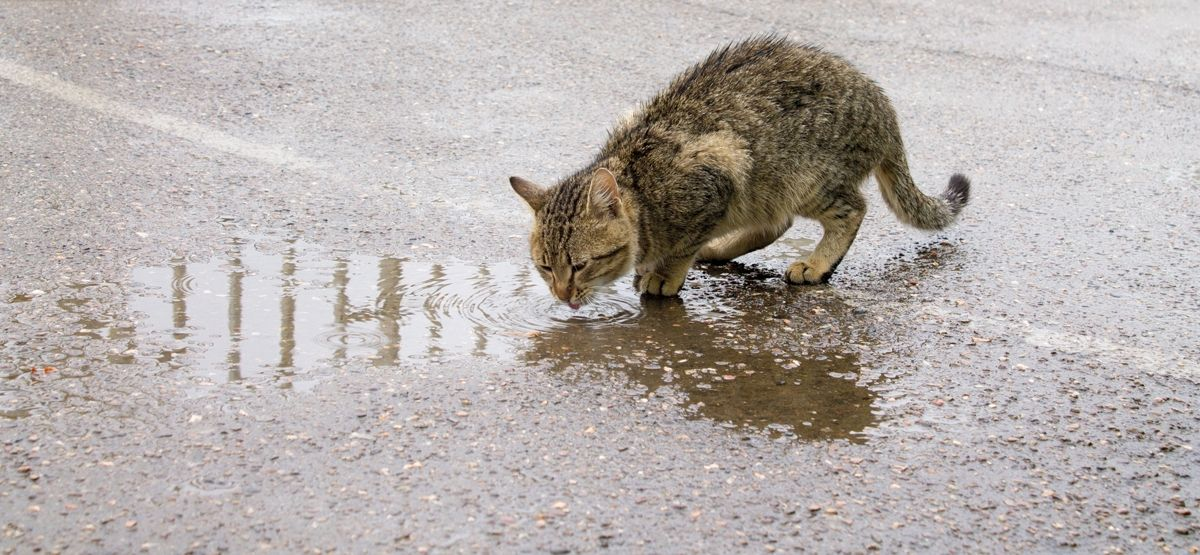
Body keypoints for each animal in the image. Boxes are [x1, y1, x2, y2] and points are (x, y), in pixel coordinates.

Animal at [506, 35, 964, 307]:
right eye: (545, 266)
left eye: (579, 264)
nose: (562, 294)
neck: (644, 189)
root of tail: (883, 107)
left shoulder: (716, 177)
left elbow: (681, 247)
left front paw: (664, 275)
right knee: (774, 224)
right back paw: (719, 248)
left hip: (805, 179)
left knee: (852, 209)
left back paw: (816, 265)